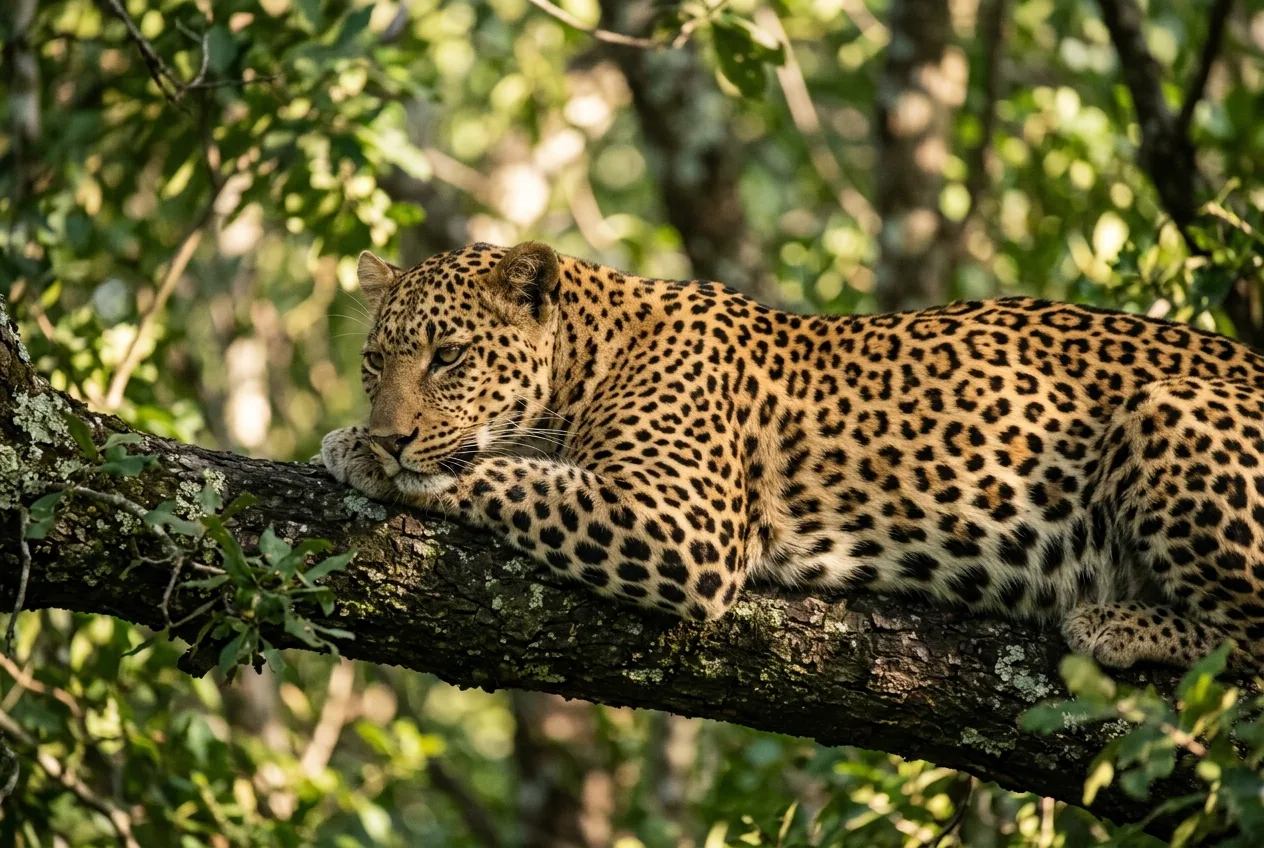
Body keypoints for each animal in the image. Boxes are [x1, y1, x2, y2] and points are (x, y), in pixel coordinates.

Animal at [321, 240, 1264, 670]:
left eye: (449, 357)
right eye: (373, 362)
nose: (388, 431)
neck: (592, 356)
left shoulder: (681, 524)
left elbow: (505, 474)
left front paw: (370, 457)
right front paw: (356, 439)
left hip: (1168, 409)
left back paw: (1115, 623)